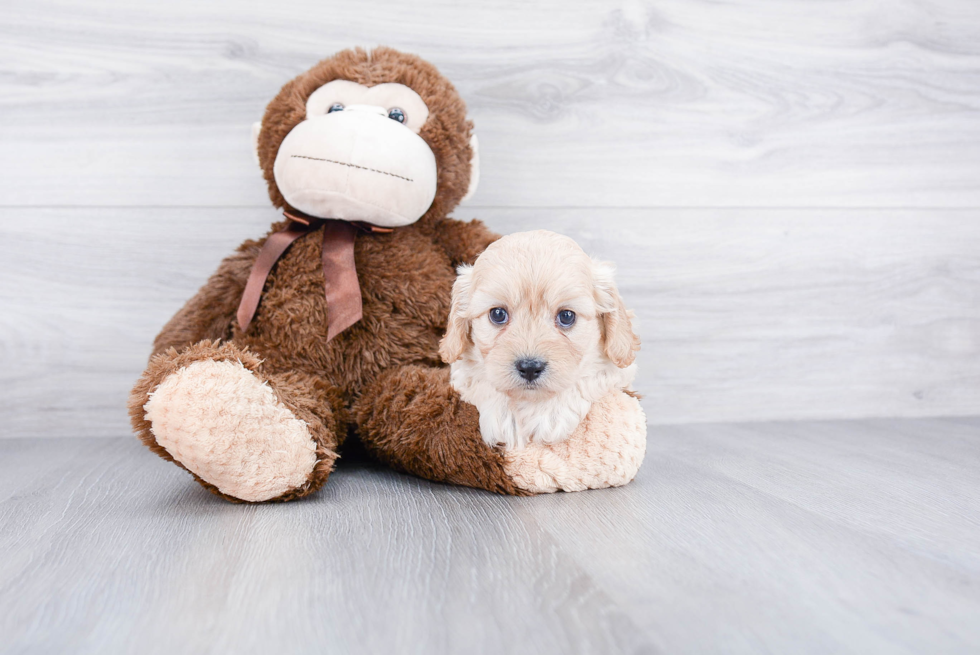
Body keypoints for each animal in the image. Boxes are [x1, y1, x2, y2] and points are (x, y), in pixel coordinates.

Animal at [438, 231, 640, 452]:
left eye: (567, 316)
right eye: (498, 314)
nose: (529, 367)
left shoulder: (616, 373)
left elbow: (585, 379)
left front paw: (551, 413)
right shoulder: (460, 374)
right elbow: (481, 380)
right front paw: (505, 417)